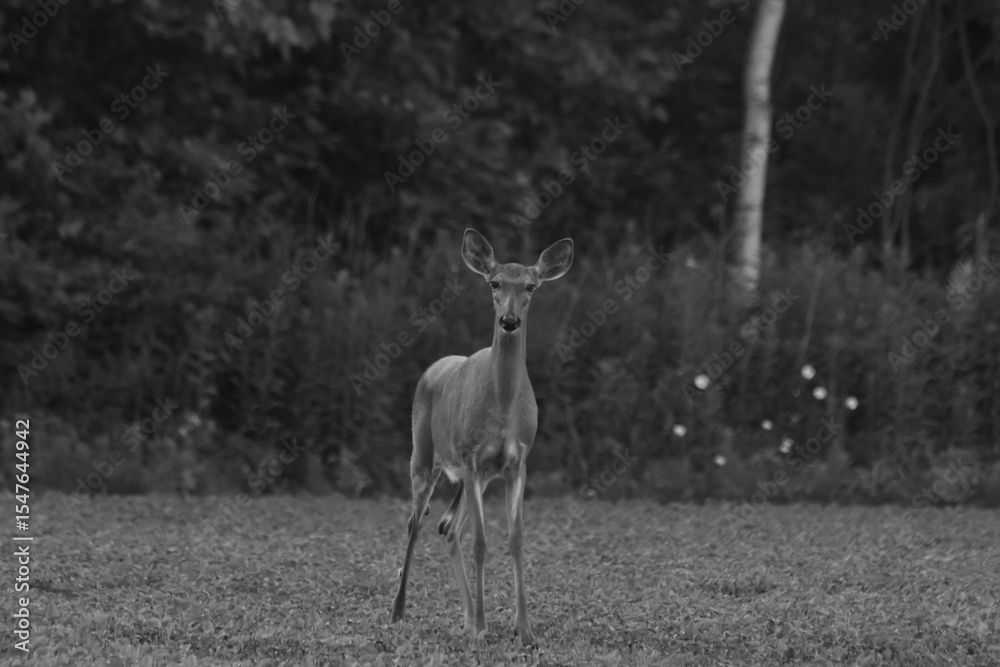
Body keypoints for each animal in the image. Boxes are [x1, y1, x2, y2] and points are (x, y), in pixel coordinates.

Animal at [389, 229, 573, 645]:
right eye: (494, 283)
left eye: (531, 286)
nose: (509, 320)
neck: (502, 406)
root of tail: (436, 366)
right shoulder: (472, 456)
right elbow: (480, 543)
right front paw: (485, 630)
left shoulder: (516, 462)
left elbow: (516, 539)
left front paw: (524, 630)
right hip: (423, 454)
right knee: (415, 522)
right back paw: (399, 611)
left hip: (474, 475)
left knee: (446, 527)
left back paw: (467, 617)